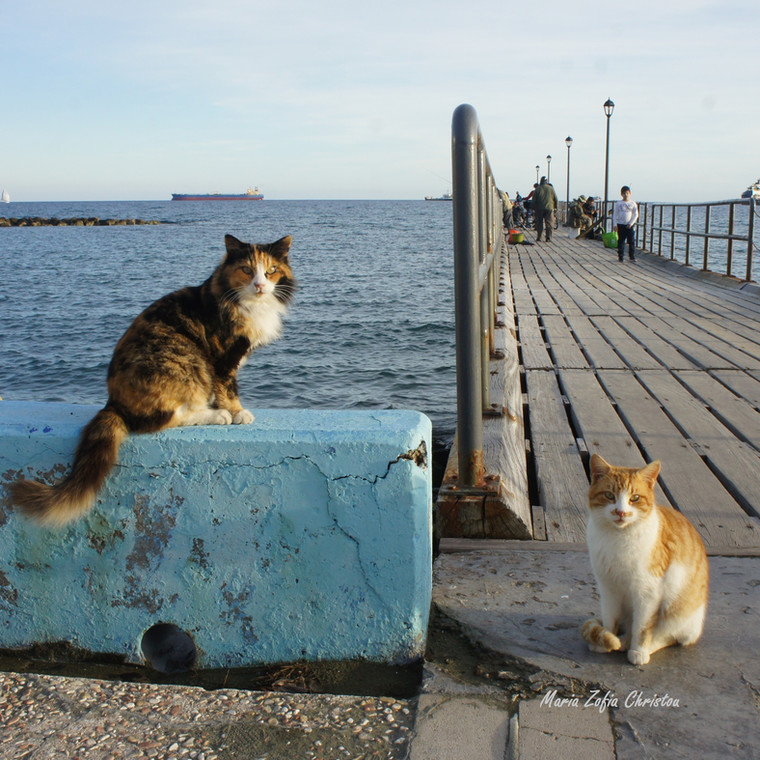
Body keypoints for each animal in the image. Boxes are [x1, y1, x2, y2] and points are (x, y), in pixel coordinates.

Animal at [9, 235, 294, 524]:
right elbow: (228, 388)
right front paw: (237, 412)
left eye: (270, 271)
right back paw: (216, 415)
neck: (246, 303)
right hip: (185, 359)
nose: (259, 285)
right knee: (165, 419)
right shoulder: (222, 358)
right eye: (246, 270)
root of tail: (113, 403)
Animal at [580, 454, 708, 668]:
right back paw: (622, 640)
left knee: (669, 636)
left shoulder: (647, 592)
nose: (621, 512)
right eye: (609, 496)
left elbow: (643, 627)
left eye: (635, 498)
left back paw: (639, 645)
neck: (618, 540)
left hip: (677, 612)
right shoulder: (608, 588)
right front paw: (606, 640)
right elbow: (610, 618)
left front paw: (638, 650)